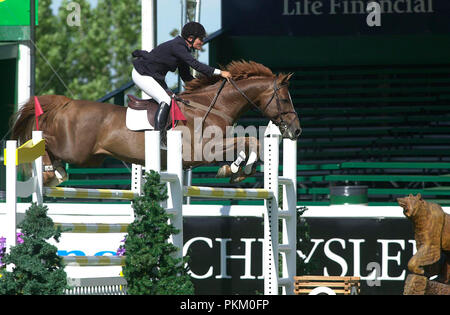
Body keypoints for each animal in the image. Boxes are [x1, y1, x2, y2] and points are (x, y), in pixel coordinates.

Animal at [11, 60, 302, 186]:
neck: (212, 106)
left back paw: (54, 173)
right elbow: (249, 140)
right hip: (76, 151)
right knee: (44, 143)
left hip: (91, 157)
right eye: (284, 99)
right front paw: (235, 169)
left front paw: (237, 170)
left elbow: (248, 143)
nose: (296, 130)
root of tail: (66, 103)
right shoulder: (201, 152)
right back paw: (51, 172)